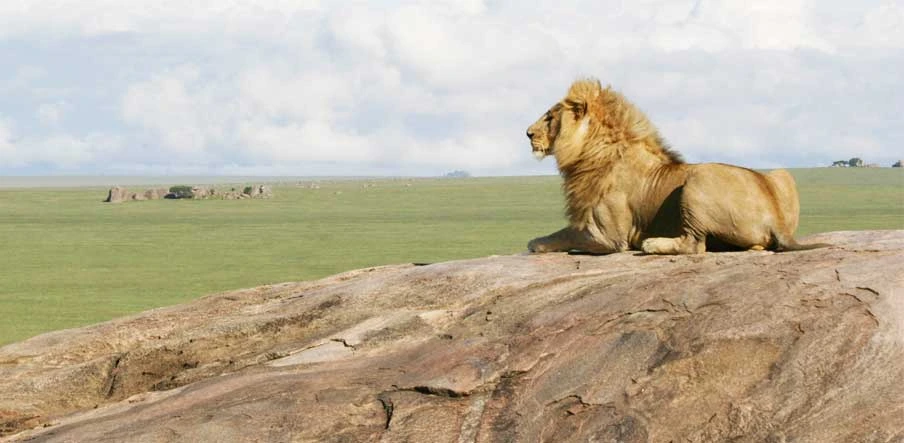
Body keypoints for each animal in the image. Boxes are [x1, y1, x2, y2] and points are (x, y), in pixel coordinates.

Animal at [526, 78, 828, 255]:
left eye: (550, 116)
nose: (528, 133)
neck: (593, 151)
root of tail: (777, 222)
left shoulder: (609, 237)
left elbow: (564, 235)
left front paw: (537, 243)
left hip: (698, 179)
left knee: (694, 245)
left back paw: (651, 244)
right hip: (782, 173)